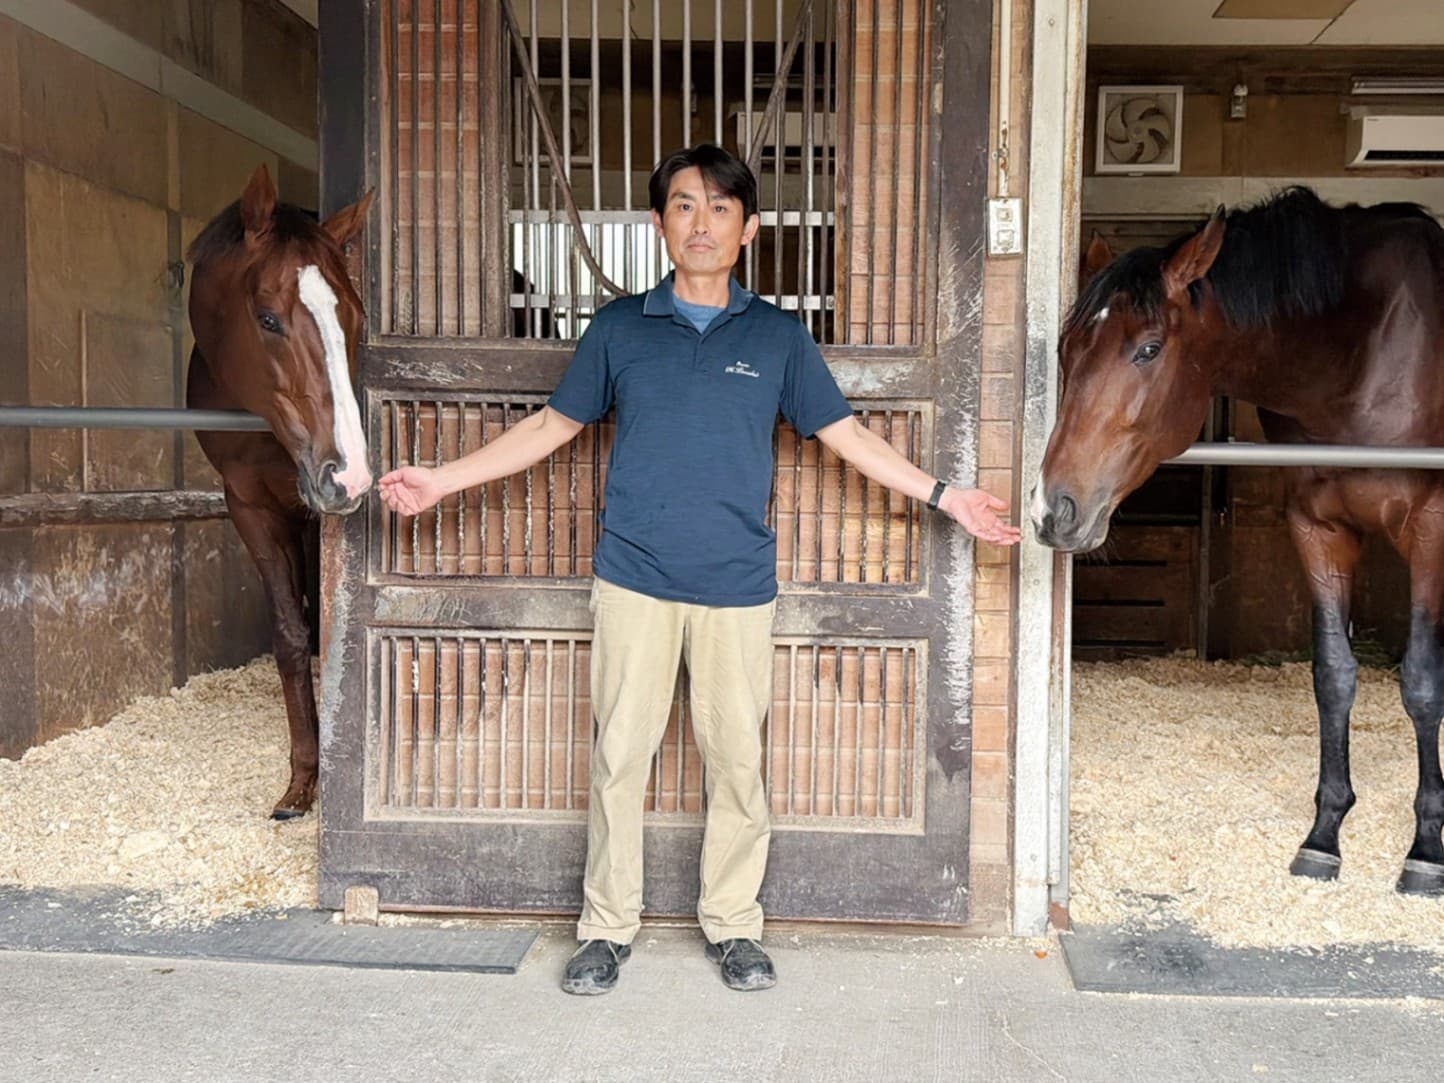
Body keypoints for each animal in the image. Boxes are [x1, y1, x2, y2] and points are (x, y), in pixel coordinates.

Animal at [187, 165, 374, 819]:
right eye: (267, 319)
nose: (352, 475)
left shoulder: (314, 511)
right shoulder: (249, 505)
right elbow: (291, 634)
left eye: (355, 317)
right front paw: (301, 781)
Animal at [1033, 186, 1444, 898]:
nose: (1054, 508)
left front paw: (1425, 849)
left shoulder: (1429, 525)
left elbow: (1420, 681)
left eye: (1148, 349)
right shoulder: (1317, 527)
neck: (1359, 351)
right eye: (1065, 349)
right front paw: (1323, 835)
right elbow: (1333, 675)